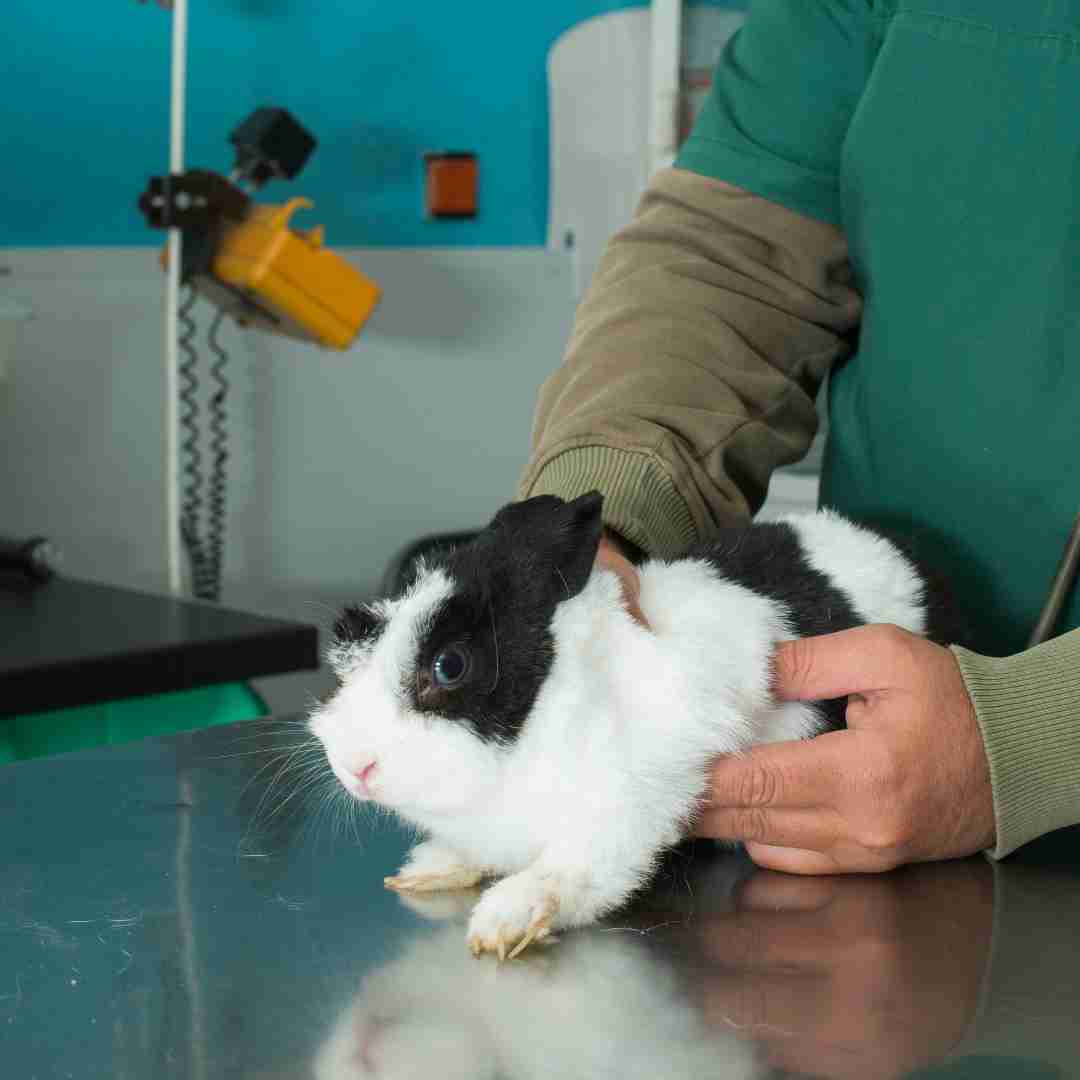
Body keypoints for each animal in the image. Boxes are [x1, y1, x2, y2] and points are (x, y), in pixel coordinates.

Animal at [309, 491, 956, 960]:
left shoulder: (632, 803)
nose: (355, 767)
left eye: (451, 665)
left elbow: (580, 868)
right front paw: (430, 869)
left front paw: (508, 919)